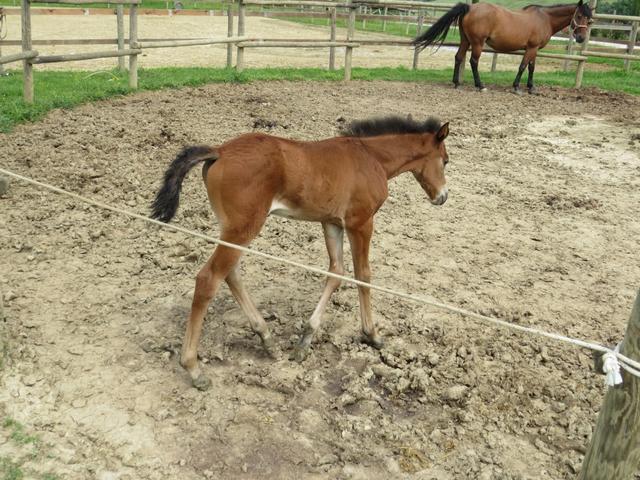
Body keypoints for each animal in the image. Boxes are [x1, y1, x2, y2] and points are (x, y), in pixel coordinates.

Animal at [151, 116, 450, 390]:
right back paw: (193, 368)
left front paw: (305, 341)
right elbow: (363, 275)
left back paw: (267, 338)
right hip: (244, 227)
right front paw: (372, 335)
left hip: (232, 229)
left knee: (230, 273)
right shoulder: (361, 223)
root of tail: (220, 150)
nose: (443, 197)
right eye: (445, 160)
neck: (369, 157)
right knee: (209, 278)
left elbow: (336, 272)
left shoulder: (332, 223)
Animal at [412, 0, 592, 93]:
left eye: (589, 19)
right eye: (579, 15)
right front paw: (516, 87)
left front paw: (531, 88)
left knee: (458, 57)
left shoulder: (534, 50)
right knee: (473, 61)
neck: (545, 19)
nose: (581, 38)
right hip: (477, 43)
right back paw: (480, 86)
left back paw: (457, 83)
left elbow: (531, 67)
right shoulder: (531, 48)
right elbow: (523, 66)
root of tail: (470, 7)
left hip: (466, 40)